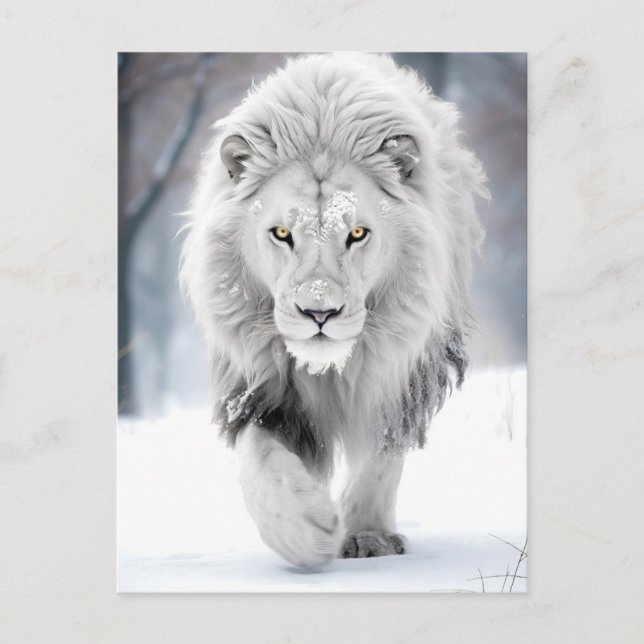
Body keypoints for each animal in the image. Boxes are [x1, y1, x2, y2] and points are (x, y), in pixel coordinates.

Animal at [181, 53, 487, 566]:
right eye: (282, 234)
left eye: (357, 233)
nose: (318, 314)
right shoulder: (257, 385)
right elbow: (259, 460)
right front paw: (305, 528)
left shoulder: (404, 371)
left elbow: (381, 452)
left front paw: (367, 536)